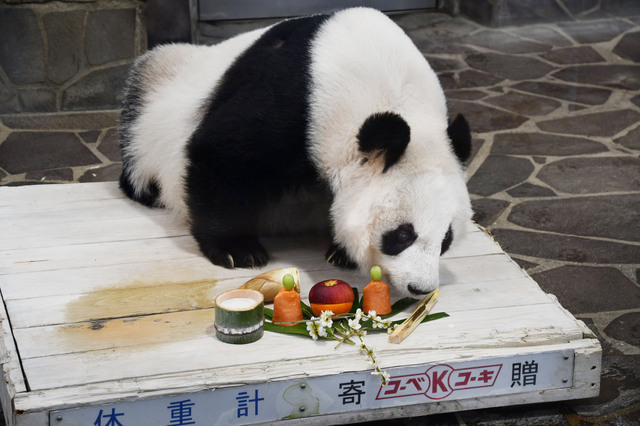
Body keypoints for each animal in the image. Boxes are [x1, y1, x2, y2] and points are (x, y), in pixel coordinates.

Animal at [119, 8, 470, 298]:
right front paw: (238, 250)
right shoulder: (294, 101)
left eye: (446, 239)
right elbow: (220, 154)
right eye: (402, 235)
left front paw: (339, 251)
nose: (421, 288)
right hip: (154, 98)